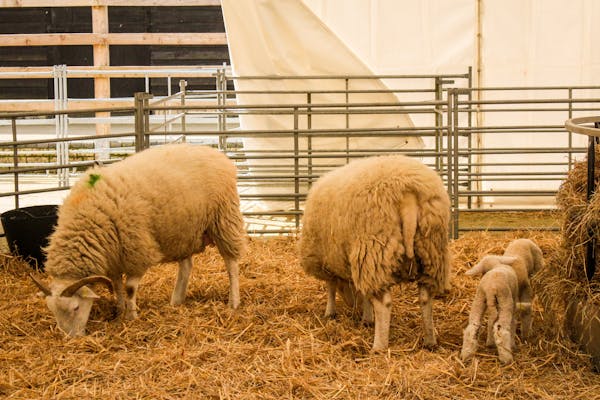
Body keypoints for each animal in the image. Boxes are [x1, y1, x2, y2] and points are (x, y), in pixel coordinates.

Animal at [29, 144, 246, 338]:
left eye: (75, 308)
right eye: (52, 311)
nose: (70, 339)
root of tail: (216, 154)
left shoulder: (136, 249)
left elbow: (130, 288)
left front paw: (131, 316)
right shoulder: (113, 256)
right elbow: (117, 286)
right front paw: (119, 311)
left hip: (224, 218)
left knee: (231, 264)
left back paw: (233, 302)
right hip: (183, 229)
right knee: (186, 266)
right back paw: (176, 300)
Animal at [300, 155, 450, 352]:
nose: (352, 307)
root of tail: (407, 190)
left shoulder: (328, 259)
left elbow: (331, 287)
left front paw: (331, 313)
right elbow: (364, 293)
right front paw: (366, 317)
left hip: (375, 248)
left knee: (384, 302)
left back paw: (378, 346)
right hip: (431, 249)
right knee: (426, 297)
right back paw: (430, 340)